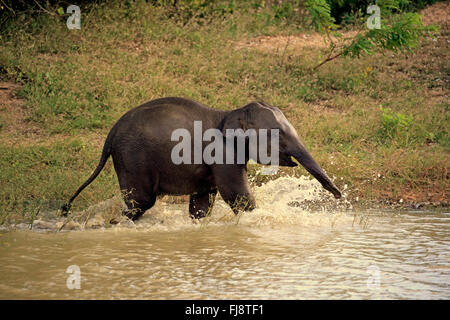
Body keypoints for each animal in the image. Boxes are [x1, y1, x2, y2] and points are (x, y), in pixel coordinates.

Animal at [61, 97, 340, 220]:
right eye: (279, 134)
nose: (339, 196)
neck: (231, 113)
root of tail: (111, 134)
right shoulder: (223, 153)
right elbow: (237, 195)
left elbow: (202, 203)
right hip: (132, 157)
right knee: (140, 201)